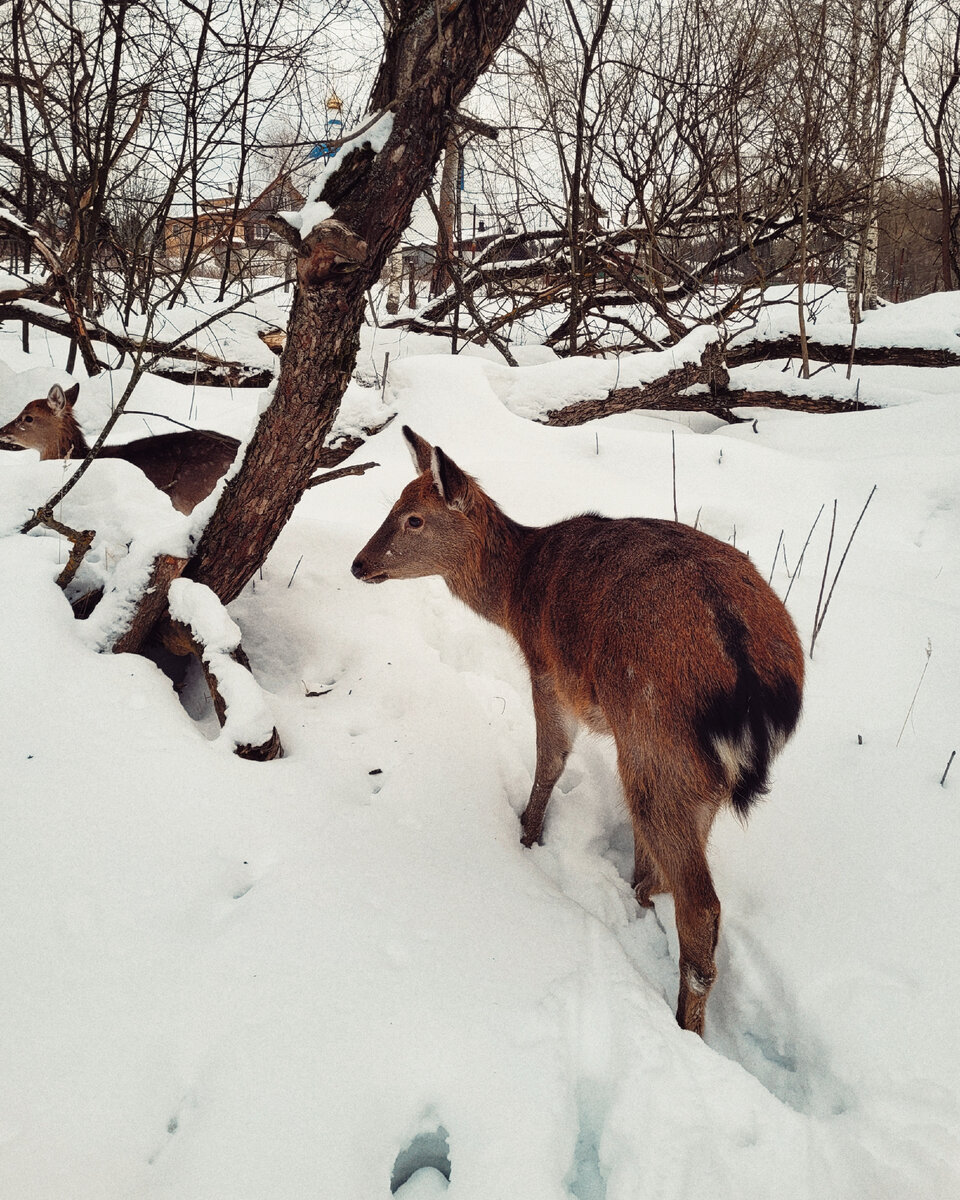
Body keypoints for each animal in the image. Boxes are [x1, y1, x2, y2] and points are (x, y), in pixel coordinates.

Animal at [352, 427, 801, 1036]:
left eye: (414, 518)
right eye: (395, 503)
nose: (358, 564)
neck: (516, 592)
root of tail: (753, 679)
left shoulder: (547, 670)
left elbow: (550, 759)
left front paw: (525, 836)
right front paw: (634, 892)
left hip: (655, 735)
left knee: (702, 905)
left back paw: (685, 1025)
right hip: (693, 767)